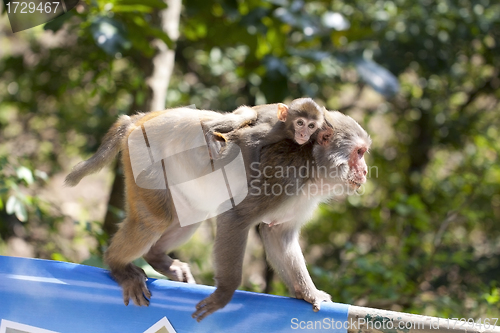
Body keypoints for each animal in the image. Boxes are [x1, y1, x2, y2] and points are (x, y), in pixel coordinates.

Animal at [63, 105, 372, 320]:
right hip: (143, 157)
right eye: (359, 152)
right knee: (156, 219)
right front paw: (224, 294)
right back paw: (117, 266)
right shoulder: (282, 176)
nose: (366, 171)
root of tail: (140, 119)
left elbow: (277, 234)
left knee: (190, 214)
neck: (312, 162)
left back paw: (159, 259)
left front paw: (308, 294)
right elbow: (236, 218)